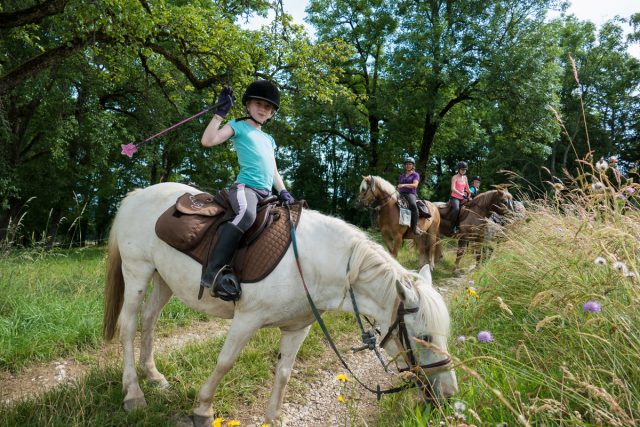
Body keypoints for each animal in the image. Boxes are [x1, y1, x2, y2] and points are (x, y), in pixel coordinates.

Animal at [104, 182, 456, 426]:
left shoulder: (298, 328)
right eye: (423, 336)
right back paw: (133, 393)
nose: (449, 394)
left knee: (149, 320)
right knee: (129, 326)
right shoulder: (247, 319)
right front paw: (203, 409)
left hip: (164, 279)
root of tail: (137, 194)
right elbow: (225, 362)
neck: (311, 261)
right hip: (137, 271)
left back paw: (153, 376)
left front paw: (272, 417)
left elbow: (285, 372)